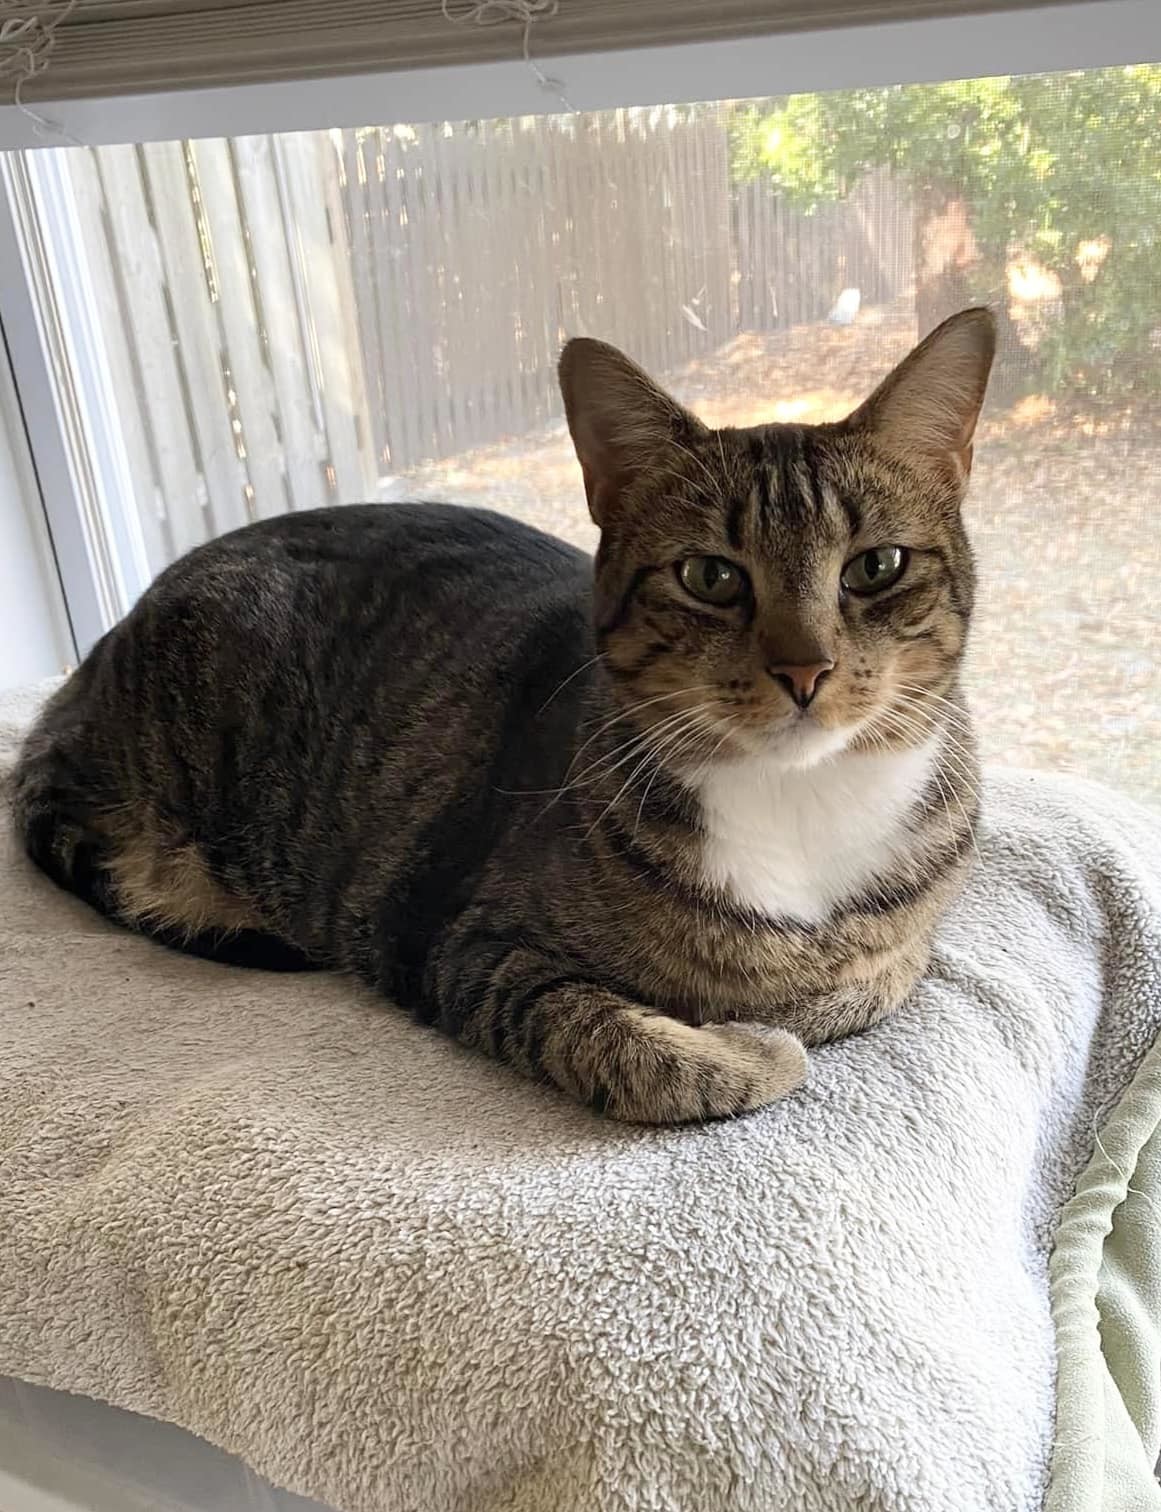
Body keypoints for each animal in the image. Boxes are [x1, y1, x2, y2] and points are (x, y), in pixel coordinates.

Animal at [9, 309, 991, 1124]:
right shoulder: (469, 952)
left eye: (876, 567)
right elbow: (634, 1047)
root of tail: (87, 671)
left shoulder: (897, 945)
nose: (804, 669)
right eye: (710, 576)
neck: (798, 807)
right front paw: (750, 1047)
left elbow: (866, 979)